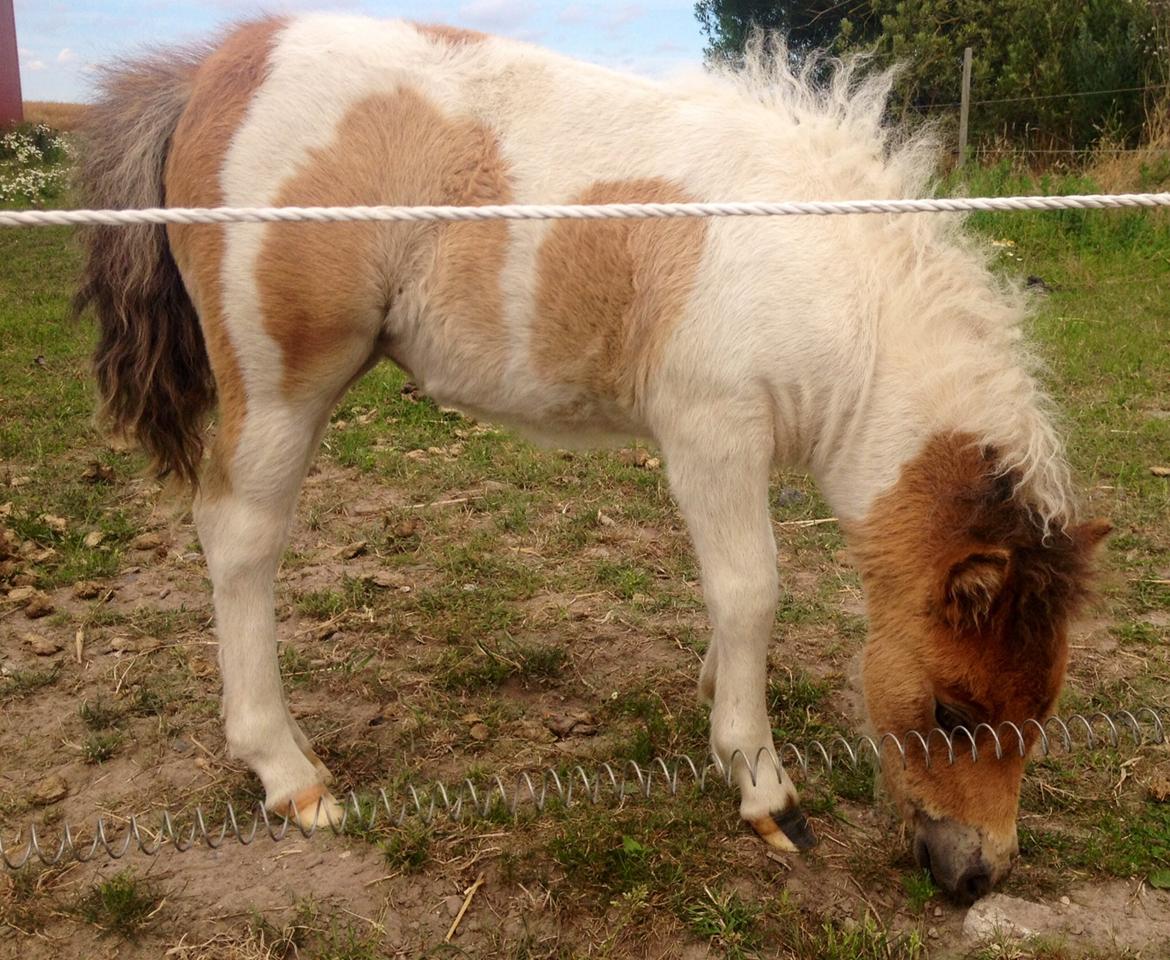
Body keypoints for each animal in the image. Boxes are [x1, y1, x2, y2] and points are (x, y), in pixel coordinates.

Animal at [75, 14, 1104, 898]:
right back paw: (288, 774)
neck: (837, 287)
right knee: (239, 539)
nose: (978, 875)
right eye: (951, 711)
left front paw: (715, 692)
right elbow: (751, 589)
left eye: (1041, 714)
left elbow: (736, 599)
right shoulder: (711, 429)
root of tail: (214, 68)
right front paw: (763, 788)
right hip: (284, 379)